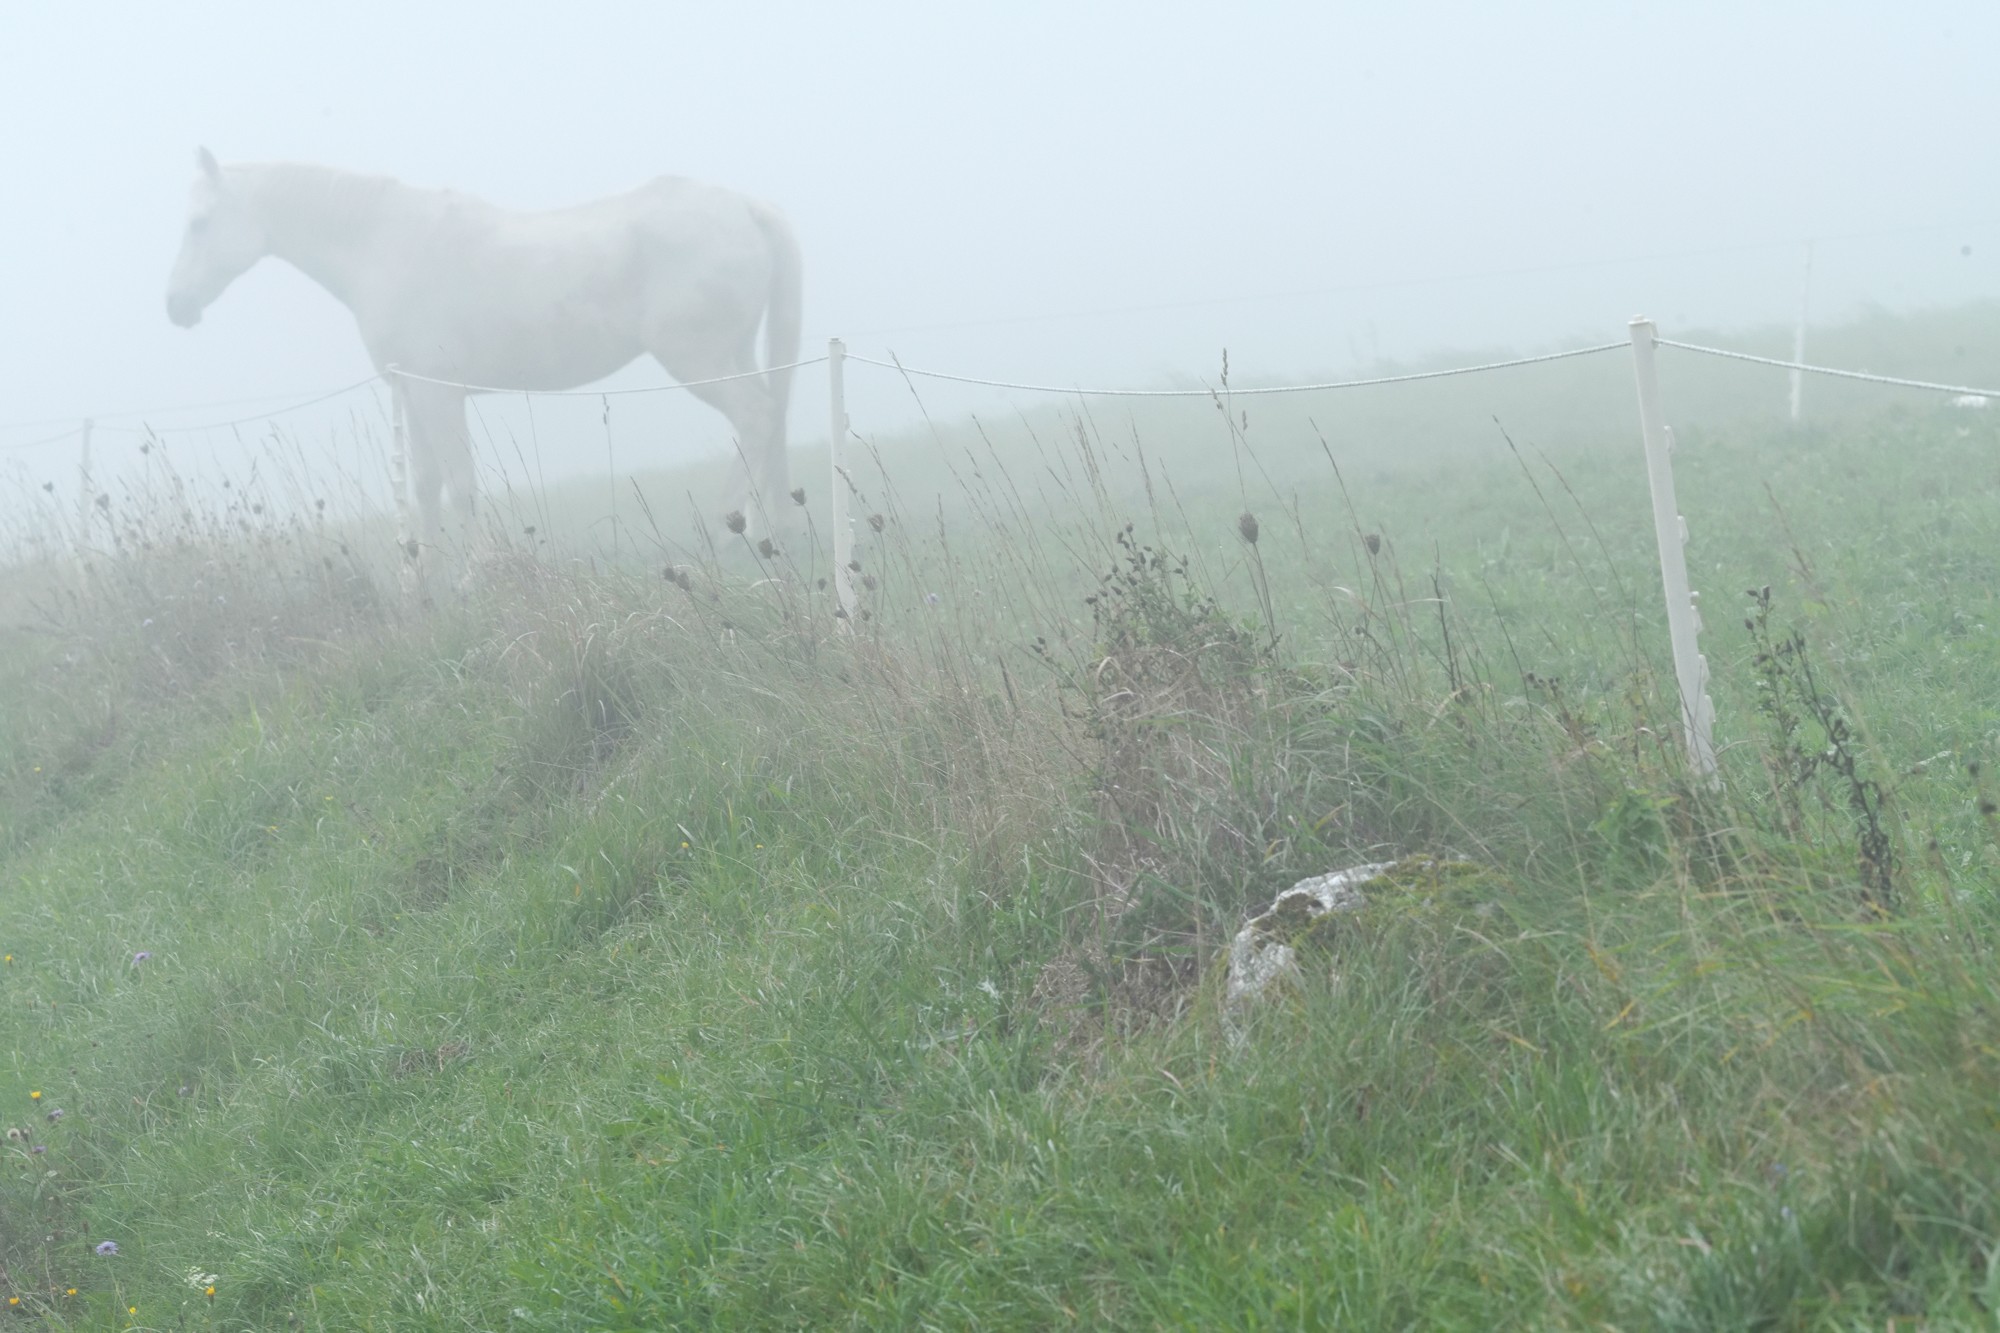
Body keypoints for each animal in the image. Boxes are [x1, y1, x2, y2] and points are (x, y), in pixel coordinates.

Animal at [166, 152, 804, 548]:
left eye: (199, 223)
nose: (175, 305)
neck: (380, 245)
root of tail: (748, 208)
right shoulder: (413, 394)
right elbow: (425, 489)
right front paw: (426, 592)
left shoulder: (438, 395)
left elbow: (461, 488)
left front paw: (477, 581)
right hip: (736, 353)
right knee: (771, 418)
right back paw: (770, 532)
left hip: (700, 361)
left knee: (755, 416)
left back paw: (728, 532)